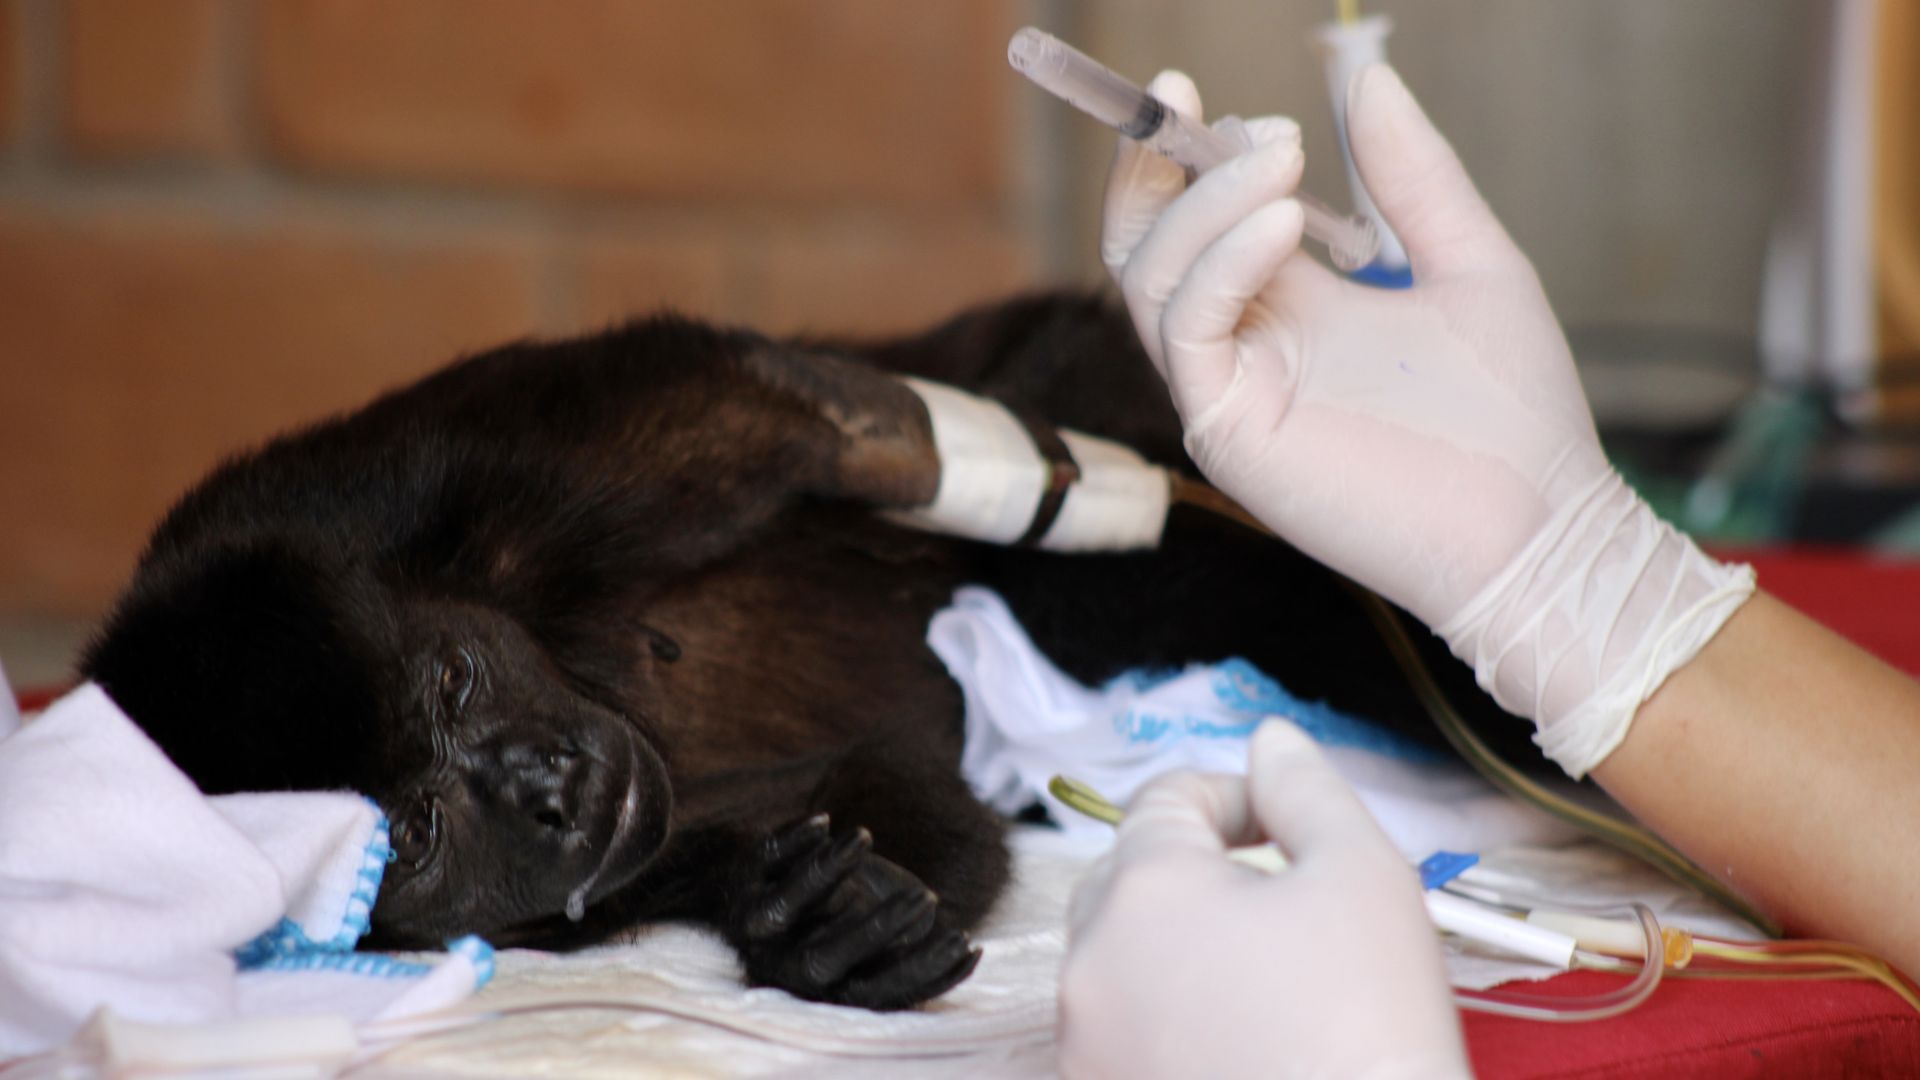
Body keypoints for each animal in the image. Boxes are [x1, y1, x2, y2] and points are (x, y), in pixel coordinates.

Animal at [81, 292, 1525, 1011]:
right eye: (419, 830)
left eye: (453, 679)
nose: (546, 786)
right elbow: (905, 802)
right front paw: (825, 930)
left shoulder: (404, 474)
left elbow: (747, 389)